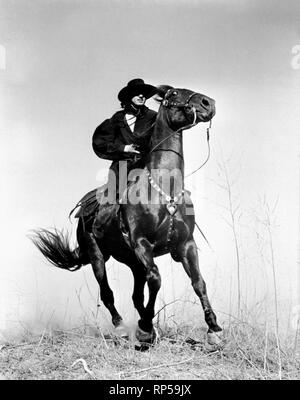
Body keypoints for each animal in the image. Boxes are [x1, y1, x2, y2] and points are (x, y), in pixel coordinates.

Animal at [31, 85, 223, 346]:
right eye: (173, 93)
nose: (208, 103)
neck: (165, 190)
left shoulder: (186, 244)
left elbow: (198, 282)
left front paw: (214, 328)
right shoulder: (142, 243)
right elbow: (156, 279)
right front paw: (145, 327)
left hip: (133, 262)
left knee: (136, 295)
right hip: (98, 256)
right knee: (108, 292)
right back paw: (123, 326)